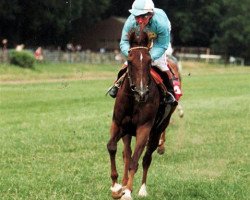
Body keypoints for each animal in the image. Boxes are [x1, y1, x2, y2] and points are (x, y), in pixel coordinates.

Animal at [106, 30, 177, 200]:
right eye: (129, 61)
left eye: (150, 62)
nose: (142, 92)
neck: (134, 100)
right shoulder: (118, 124)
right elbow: (112, 147)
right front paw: (116, 186)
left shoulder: (144, 128)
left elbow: (136, 161)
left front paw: (127, 192)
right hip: (128, 132)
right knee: (127, 154)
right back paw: (124, 183)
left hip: (158, 129)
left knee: (146, 158)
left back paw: (142, 189)